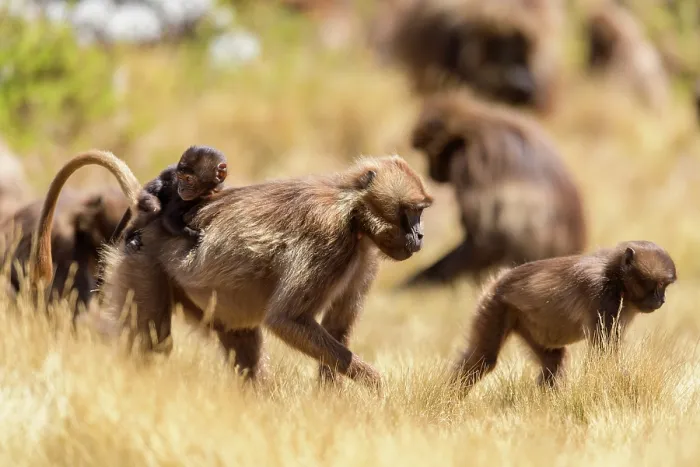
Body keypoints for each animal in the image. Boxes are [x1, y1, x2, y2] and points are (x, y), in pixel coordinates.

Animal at [32, 151, 433, 388]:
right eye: (414, 211)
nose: (420, 236)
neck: (351, 211)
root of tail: (146, 215)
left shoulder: (365, 255)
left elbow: (336, 328)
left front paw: (330, 404)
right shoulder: (329, 240)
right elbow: (287, 320)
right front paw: (379, 387)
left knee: (244, 349)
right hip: (141, 263)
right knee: (153, 344)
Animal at [452, 240, 677, 391]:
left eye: (665, 286)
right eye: (657, 286)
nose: (662, 300)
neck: (616, 277)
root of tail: (500, 280)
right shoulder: (602, 295)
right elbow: (602, 356)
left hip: (526, 323)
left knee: (553, 361)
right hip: (496, 305)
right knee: (483, 359)